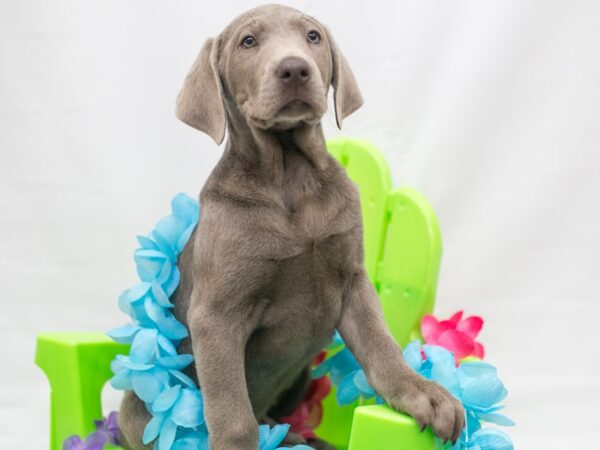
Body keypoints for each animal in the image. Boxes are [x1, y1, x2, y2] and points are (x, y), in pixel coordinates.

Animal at [117, 4, 464, 450]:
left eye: (312, 36)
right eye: (248, 42)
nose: (295, 69)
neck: (290, 174)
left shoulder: (352, 280)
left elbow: (381, 345)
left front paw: (424, 394)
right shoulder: (216, 314)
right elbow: (233, 414)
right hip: (138, 413)